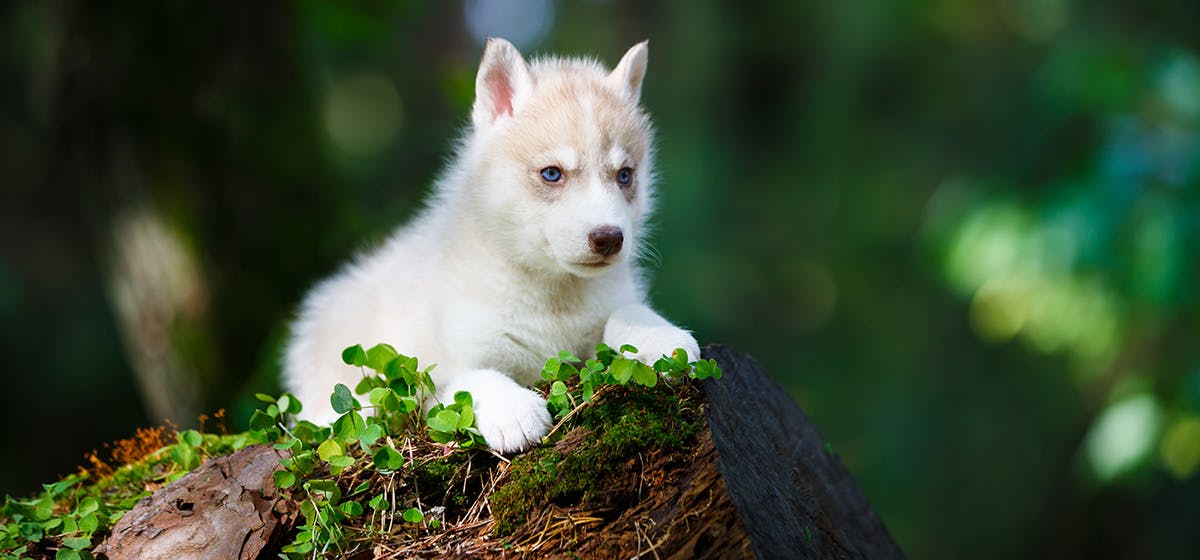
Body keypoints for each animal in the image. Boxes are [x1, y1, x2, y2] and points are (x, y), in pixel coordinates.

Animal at [286, 38, 700, 450]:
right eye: (552, 174)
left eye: (625, 175)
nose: (609, 238)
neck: (553, 296)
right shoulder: (437, 372)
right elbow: (476, 378)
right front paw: (514, 411)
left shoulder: (605, 314)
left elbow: (624, 312)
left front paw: (662, 337)